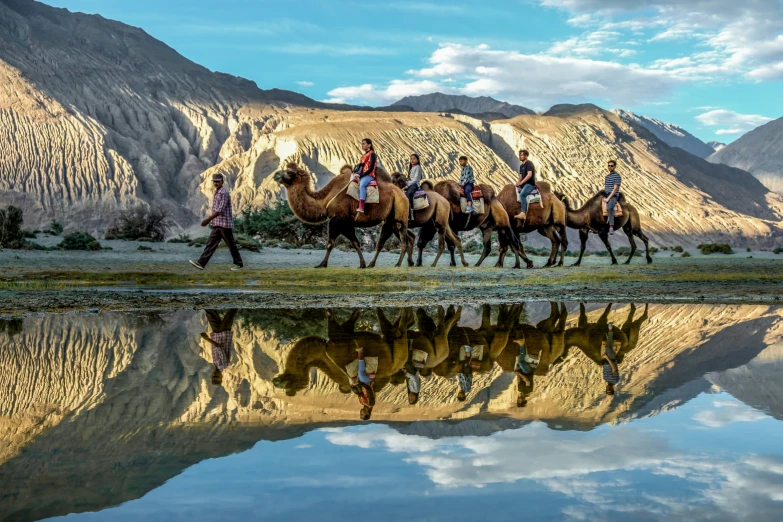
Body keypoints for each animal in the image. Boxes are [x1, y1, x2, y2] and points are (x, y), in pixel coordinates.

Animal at [274, 162, 410, 268]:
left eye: (290, 172)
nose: (276, 175)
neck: (324, 200)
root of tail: (401, 193)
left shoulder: (339, 219)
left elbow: (331, 243)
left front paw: (322, 264)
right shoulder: (345, 222)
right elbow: (354, 242)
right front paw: (363, 264)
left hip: (401, 212)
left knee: (403, 239)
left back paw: (398, 263)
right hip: (391, 218)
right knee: (390, 238)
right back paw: (375, 264)